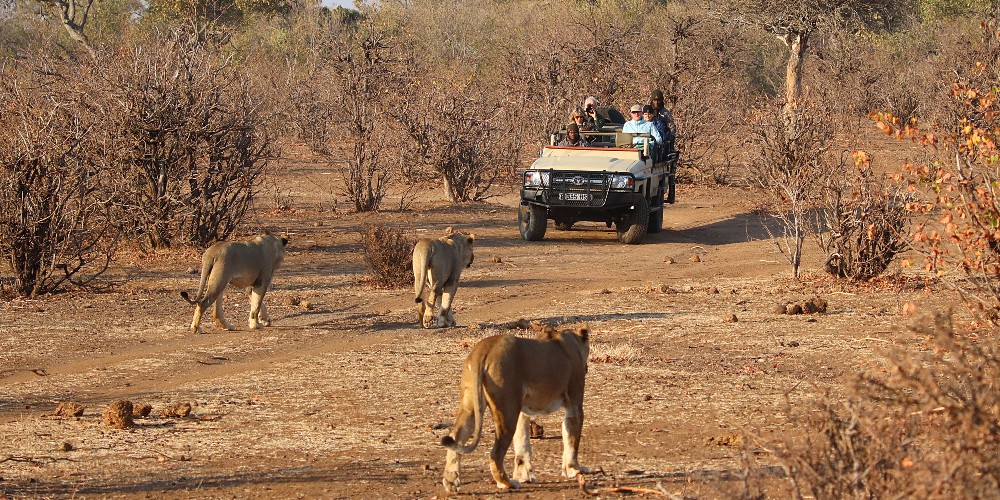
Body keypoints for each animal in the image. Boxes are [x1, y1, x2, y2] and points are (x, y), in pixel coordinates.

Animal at [440, 324, 592, 492]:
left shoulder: (521, 411)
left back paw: (451, 481)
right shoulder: (574, 403)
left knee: (456, 437)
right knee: (495, 454)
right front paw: (575, 469)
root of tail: (483, 349)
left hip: (472, 403)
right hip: (507, 409)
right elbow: (572, 439)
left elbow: (522, 442)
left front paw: (523, 475)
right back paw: (507, 483)